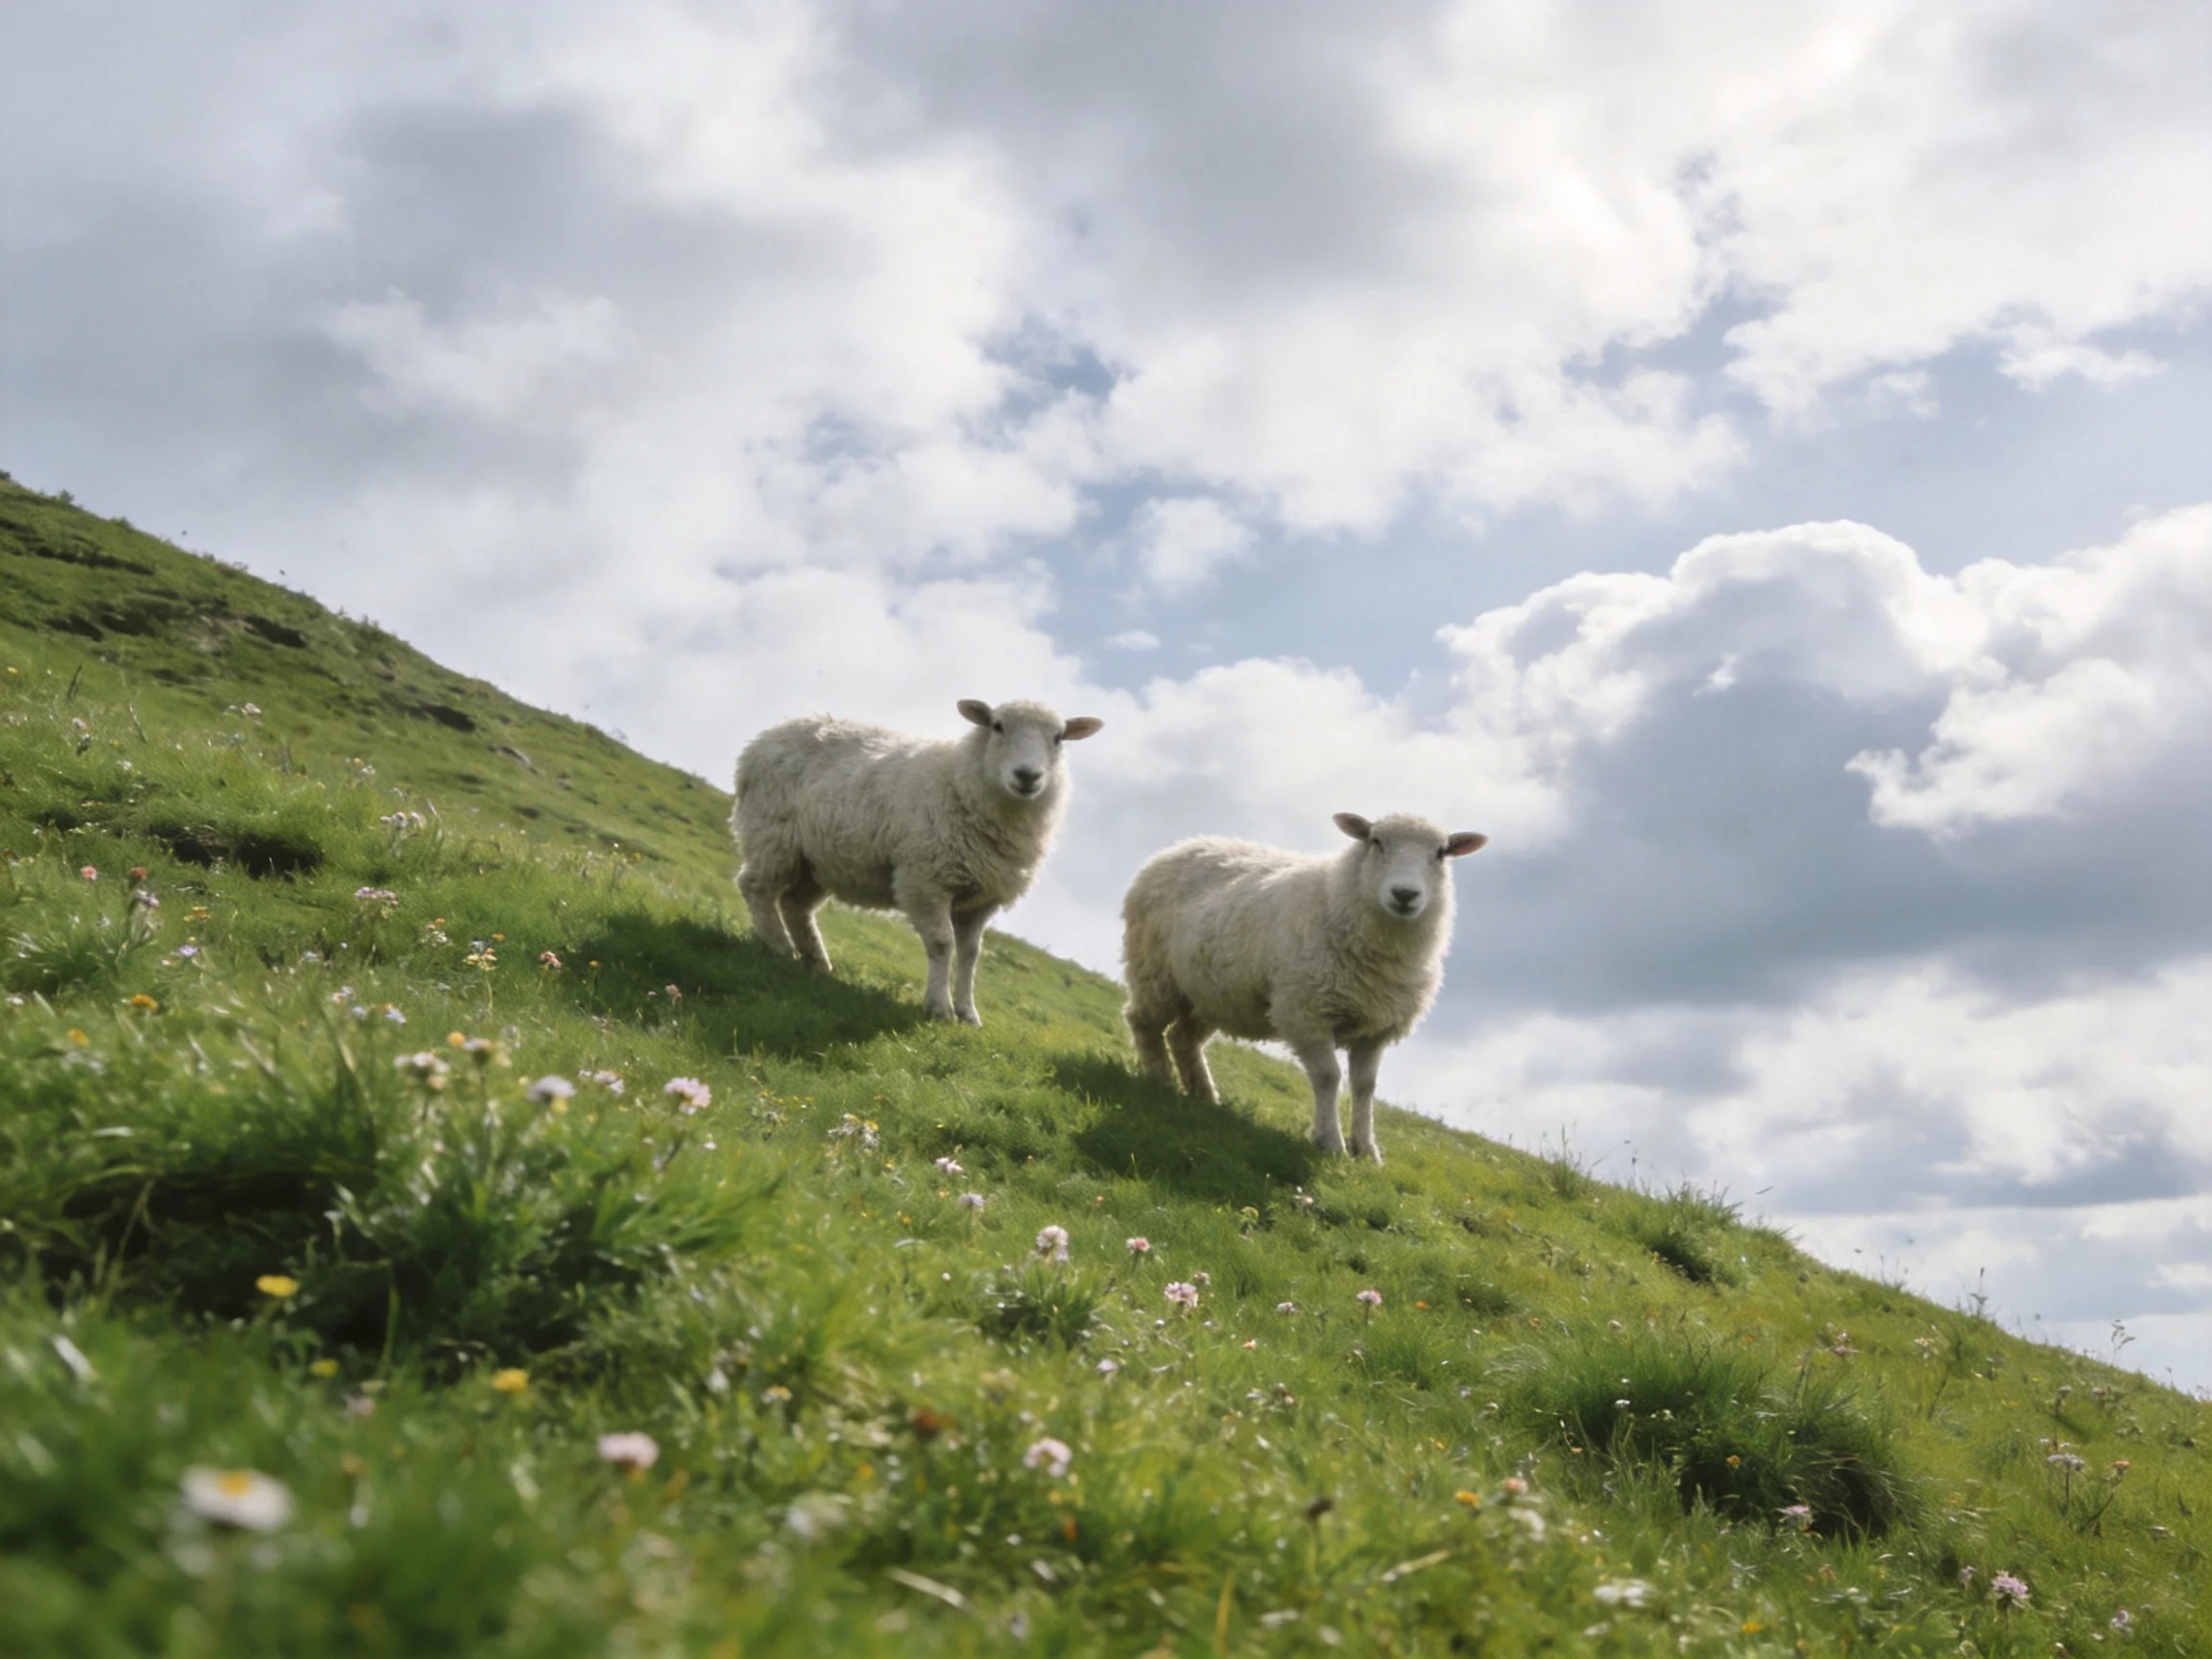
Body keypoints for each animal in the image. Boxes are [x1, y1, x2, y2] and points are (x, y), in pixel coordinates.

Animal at [732, 699, 1103, 1025]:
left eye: (1059, 737)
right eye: (998, 726)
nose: (1027, 776)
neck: (960, 782)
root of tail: (765, 737)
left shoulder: (981, 899)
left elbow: (971, 954)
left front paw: (968, 1013)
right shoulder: (926, 880)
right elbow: (942, 944)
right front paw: (939, 1007)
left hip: (819, 862)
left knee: (795, 905)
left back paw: (816, 962)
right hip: (772, 835)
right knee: (756, 888)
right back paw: (780, 947)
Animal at [1121, 812, 1486, 1162]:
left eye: (1441, 853)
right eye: (1376, 841)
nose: (1405, 894)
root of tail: (1179, 847)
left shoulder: (1374, 1029)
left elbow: (1365, 1087)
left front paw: (1366, 1151)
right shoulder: (1305, 1012)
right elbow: (1328, 1076)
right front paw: (1331, 1143)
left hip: (1212, 995)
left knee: (1182, 1038)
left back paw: (1204, 1095)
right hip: (1155, 971)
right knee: (1144, 1022)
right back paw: (1159, 1080)